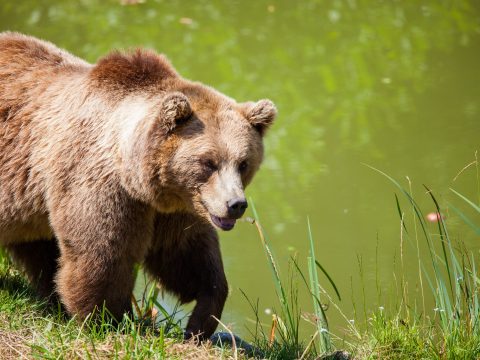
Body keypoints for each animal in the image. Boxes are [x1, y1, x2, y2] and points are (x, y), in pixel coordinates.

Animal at [0, 32, 276, 338]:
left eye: (243, 163)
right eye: (208, 162)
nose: (235, 204)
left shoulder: (175, 208)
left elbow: (186, 256)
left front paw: (201, 320)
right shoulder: (99, 184)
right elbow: (103, 254)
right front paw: (106, 319)